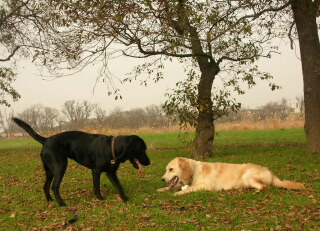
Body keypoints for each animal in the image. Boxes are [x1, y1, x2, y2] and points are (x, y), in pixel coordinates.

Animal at [13, 118, 151, 207]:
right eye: (142, 149)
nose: (149, 162)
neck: (112, 148)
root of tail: (46, 140)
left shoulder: (111, 173)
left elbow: (119, 186)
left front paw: (125, 198)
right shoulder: (96, 171)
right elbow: (97, 186)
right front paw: (100, 198)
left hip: (49, 171)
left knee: (45, 186)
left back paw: (50, 201)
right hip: (60, 166)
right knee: (54, 186)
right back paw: (62, 203)